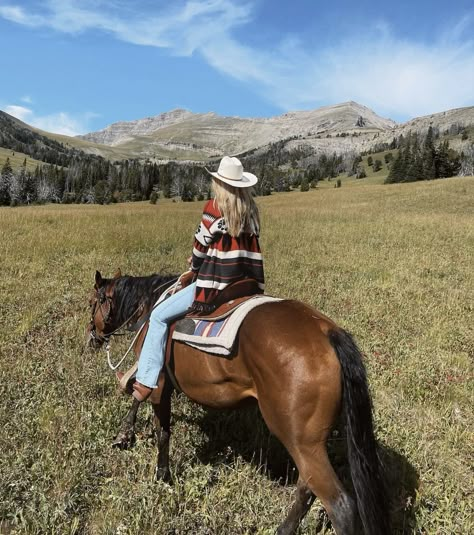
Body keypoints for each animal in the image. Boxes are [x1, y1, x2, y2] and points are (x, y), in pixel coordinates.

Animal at [87, 272, 390, 535]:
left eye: (92, 303)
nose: (92, 338)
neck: (151, 306)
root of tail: (327, 331)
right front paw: (126, 434)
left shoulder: (159, 381)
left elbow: (157, 422)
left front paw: (159, 472)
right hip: (309, 443)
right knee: (307, 488)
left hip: (301, 440)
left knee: (338, 504)